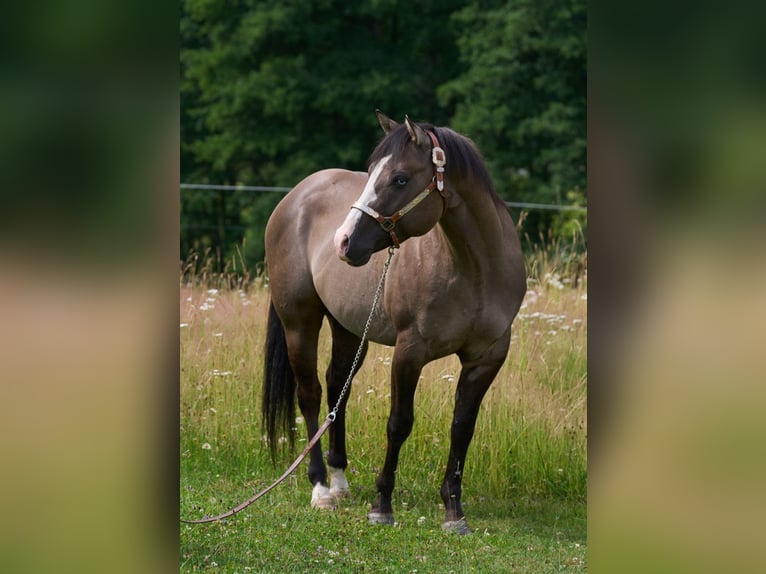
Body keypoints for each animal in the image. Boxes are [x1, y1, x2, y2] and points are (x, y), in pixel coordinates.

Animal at [262, 111, 526, 533]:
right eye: (371, 173)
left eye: (400, 178)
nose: (343, 241)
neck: (474, 270)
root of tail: (296, 195)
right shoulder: (409, 352)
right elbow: (399, 423)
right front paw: (381, 505)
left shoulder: (486, 358)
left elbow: (462, 428)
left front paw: (454, 511)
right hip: (299, 322)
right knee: (311, 394)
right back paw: (321, 489)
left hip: (349, 328)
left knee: (337, 387)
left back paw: (339, 481)